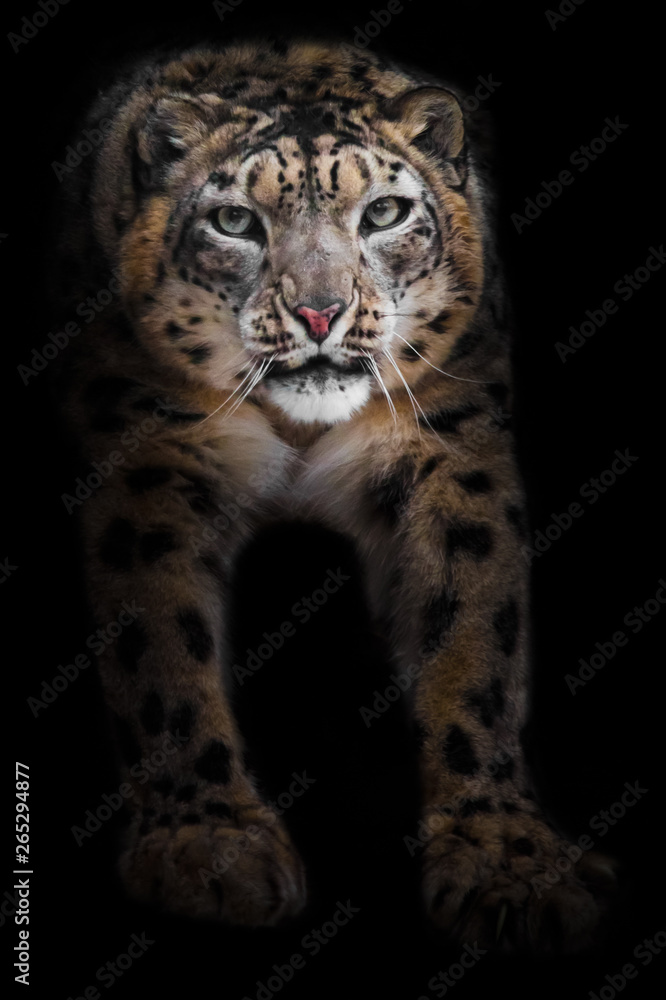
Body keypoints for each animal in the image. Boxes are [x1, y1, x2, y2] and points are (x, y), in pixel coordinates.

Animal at [50, 36, 617, 953]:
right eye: (235, 221)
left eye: (383, 213)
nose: (321, 314)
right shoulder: (149, 451)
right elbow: (160, 651)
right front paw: (207, 847)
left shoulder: (450, 444)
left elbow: (474, 640)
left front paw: (506, 861)